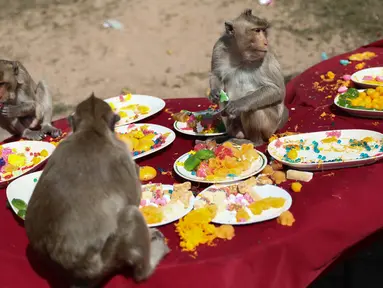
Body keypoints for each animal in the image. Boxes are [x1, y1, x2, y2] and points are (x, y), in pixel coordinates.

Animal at [24, 94, 170, 286]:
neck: (91, 129)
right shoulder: (121, 153)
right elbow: (134, 196)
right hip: (109, 257)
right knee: (131, 214)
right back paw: (149, 264)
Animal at [208, 8, 290, 146]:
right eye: (256, 30)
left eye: (263, 30)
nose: (265, 42)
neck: (242, 55)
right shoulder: (218, 47)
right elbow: (216, 75)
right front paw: (214, 93)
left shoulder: (266, 57)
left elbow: (277, 90)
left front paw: (239, 104)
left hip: (270, 126)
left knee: (253, 108)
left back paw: (254, 141)